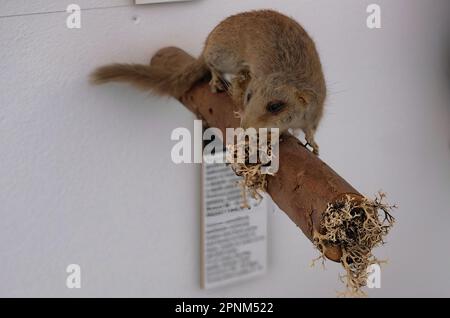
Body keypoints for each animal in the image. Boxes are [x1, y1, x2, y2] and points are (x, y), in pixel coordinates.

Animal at [91, 9, 326, 154]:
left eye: (275, 106)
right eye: (249, 96)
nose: (244, 127)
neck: (288, 75)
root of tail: (206, 44)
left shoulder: (314, 114)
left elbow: (309, 130)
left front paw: (313, 144)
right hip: (224, 55)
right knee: (210, 63)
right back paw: (217, 80)